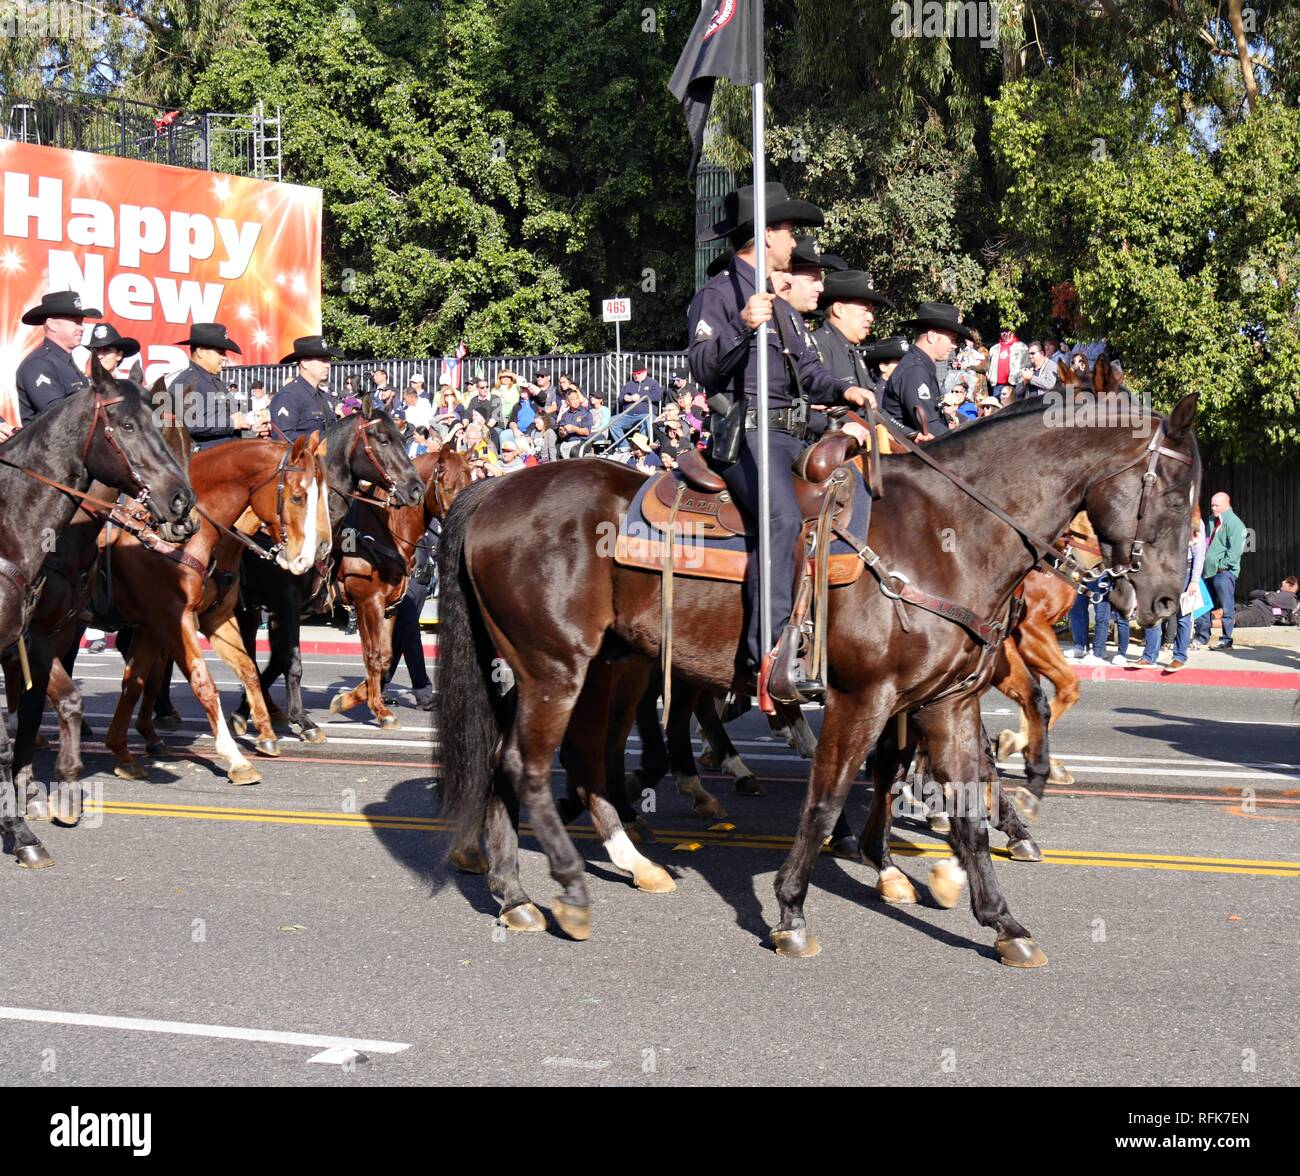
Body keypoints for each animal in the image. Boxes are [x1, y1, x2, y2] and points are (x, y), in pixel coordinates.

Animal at [0, 361, 195, 868]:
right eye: (126, 426)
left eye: (177, 437)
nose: (182, 504)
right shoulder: (29, 642)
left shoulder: (48, 636)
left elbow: (40, 713)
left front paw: (49, 796)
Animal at [104, 436, 332, 784]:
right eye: (297, 496)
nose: (316, 553)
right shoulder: (176, 620)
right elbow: (202, 683)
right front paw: (236, 757)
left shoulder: (207, 618)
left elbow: (246, 667)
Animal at [227, 408, 421, 743]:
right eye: (383, 440)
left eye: (403, 438)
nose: (415, 489)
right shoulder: (294, 603)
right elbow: (291, 662)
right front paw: (304, 721)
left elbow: (280, 659)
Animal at [330, 444, 473, 722]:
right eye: (447, 488)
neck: (382, 533)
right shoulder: (368, 604)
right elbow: (373, 656)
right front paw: (377, 707)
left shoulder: (389, 607)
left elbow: (385, 656)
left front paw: (357, 698)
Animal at [436, 387, 1196, 961]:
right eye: (1173, 490)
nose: (1164, 602)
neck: (946, 535)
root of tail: (494, 487)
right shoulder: (866, 697)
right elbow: (829, 796)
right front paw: (794, 910)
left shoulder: (948, 701)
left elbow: (966, 804)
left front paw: (1000, 919)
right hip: (555, 668)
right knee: (530, 765)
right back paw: (568, 884)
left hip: (591, 668)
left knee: (550, 759)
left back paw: (534, 887)